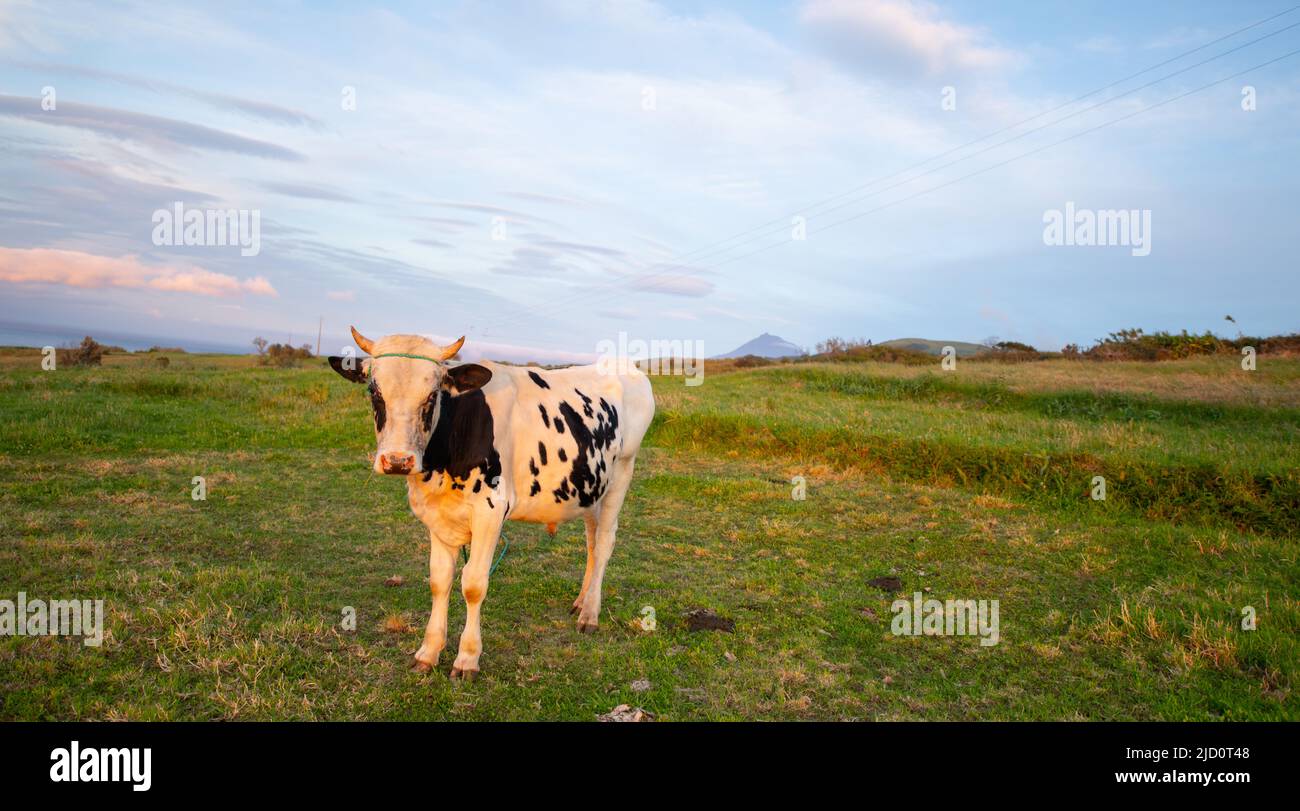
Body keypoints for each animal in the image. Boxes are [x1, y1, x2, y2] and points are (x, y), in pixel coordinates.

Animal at [330, 327, 655, 675]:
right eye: (374, 392)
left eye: (432, 395)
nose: (397, 461)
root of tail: (626, 367)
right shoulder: (437, 515)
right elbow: (439, 581)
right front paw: (428, 652)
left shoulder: (490, 511)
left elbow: (473, 584)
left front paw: (467, 658)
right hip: (592, 485)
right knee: (592, 543)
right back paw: (582, 601)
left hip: (621, 472)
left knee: (605, 542)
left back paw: (590, 614)